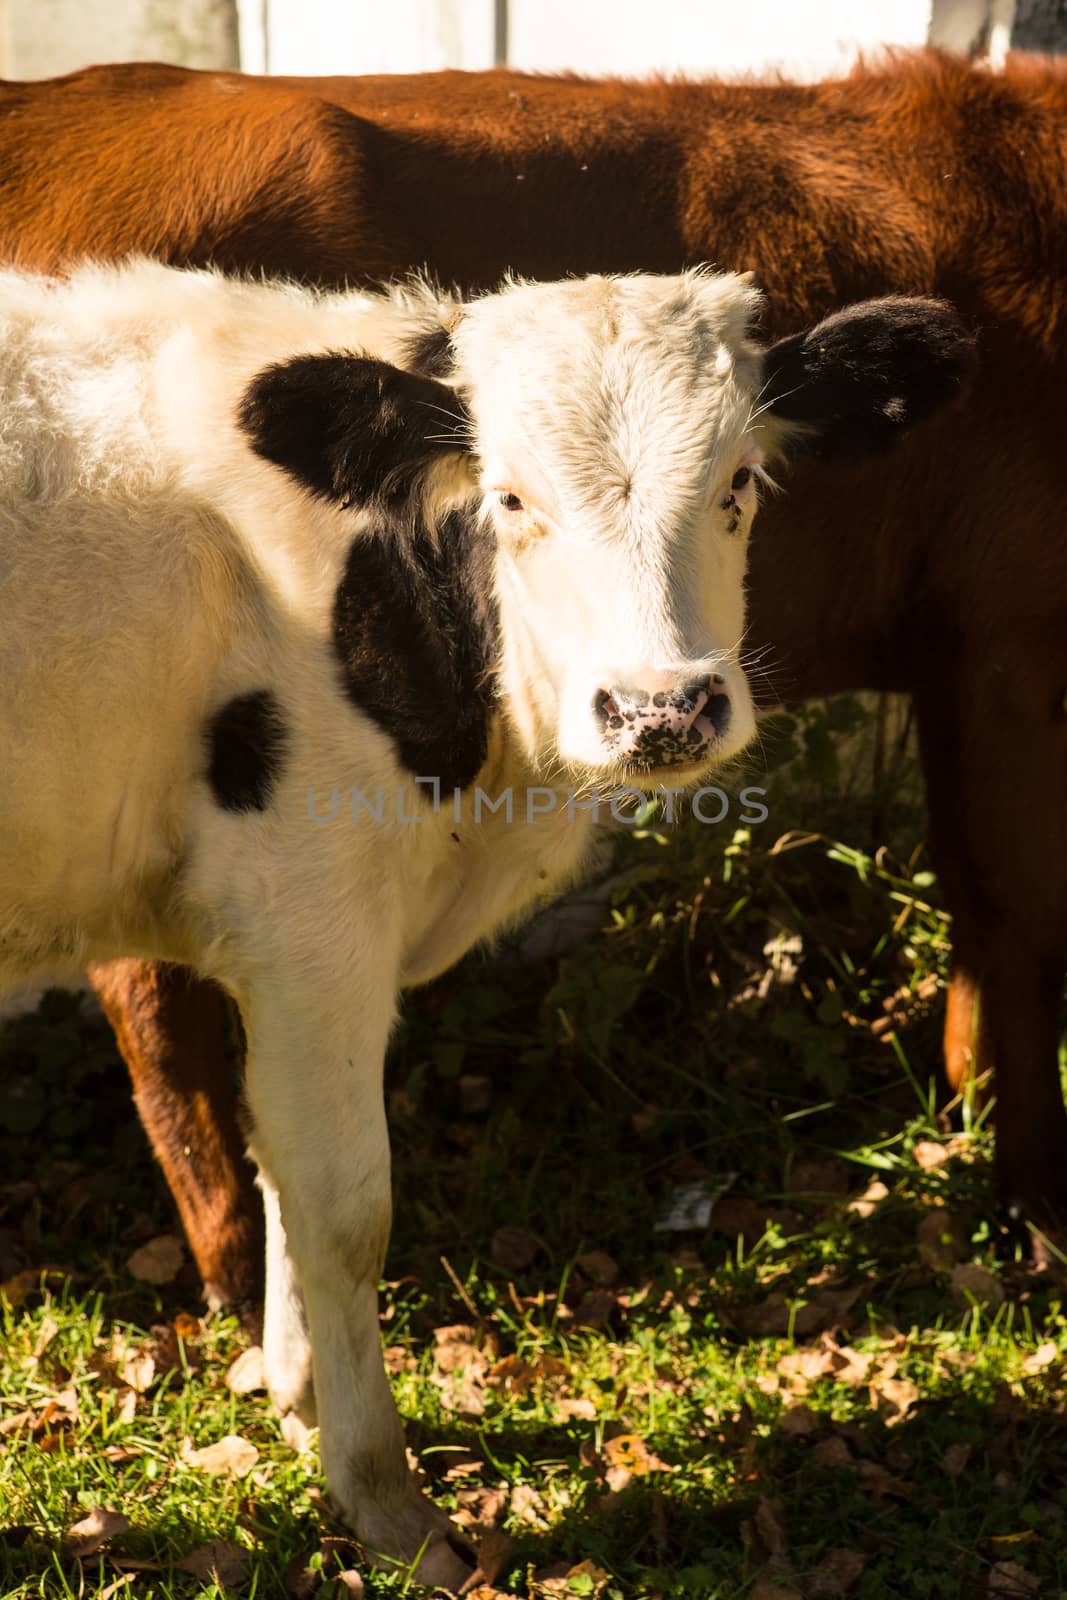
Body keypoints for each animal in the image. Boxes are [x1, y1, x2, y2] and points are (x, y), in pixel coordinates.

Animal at [0, 262, 972, 1587]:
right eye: (510, 496)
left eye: (738, 479)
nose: (659, 708)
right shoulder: (309, 914)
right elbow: (343, 1203)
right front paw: (383, 1499)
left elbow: (281, 1168)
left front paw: (302, 1398)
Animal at [2, 53, 1067, 1312]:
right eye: (505, 496)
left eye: (744, 479)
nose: (662, 708)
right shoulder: (1009, 642)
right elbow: (1011, 915)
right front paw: (1028, 1203)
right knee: (153, 1007)